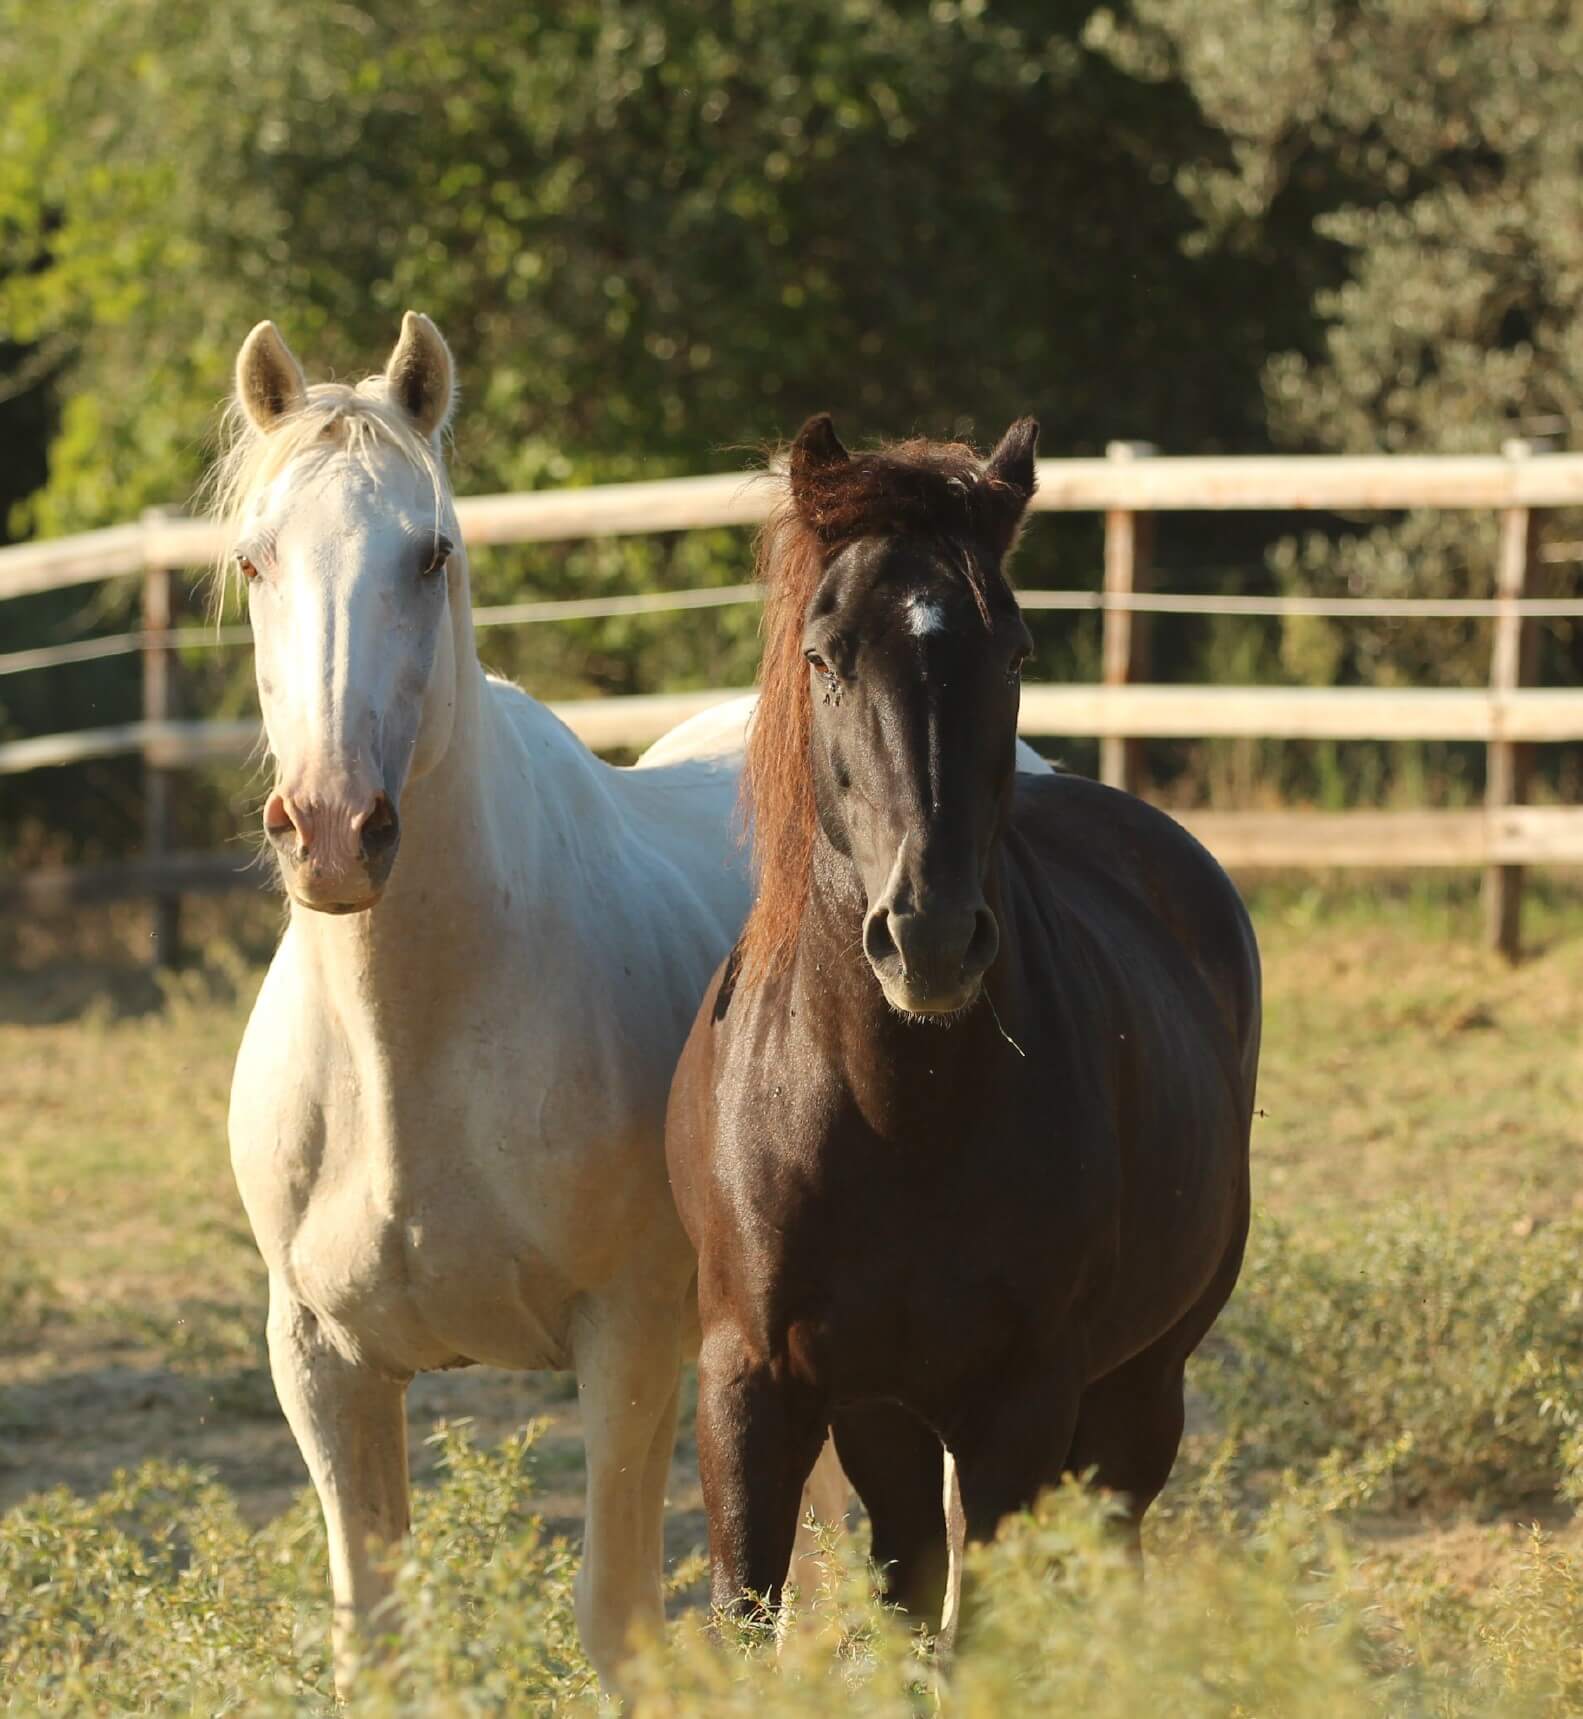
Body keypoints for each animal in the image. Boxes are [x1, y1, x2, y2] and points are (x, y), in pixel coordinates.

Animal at [219, 313, 843, 1692]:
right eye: (253, 558)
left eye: (430, 552)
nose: (332, 831)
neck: (412, 1047)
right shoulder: (324, 1366)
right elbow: (371, 1639)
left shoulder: (628, 1342)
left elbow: (619, 1627)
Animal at [665, 414, 1262, 1635]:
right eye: (824, 656)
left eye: (1017, 654)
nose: (928, 935)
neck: (894, 1117)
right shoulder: (752, 1389)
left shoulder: (1017, 1405)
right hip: (888, 1416)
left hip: (1138, 1391)